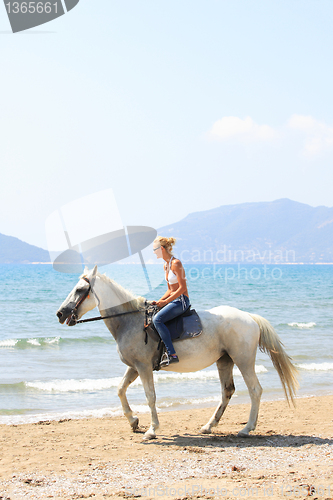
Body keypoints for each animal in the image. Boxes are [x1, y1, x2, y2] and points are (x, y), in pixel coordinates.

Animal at [55, 268, 296, 440]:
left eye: (80, 290)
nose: (60, 313)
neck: (130, 321)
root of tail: (249, 317)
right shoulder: (134, 367)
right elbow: (120, 390)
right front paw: (133, 421)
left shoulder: (143, 367)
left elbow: (150, 396)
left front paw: (152, 430)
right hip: (224, 361)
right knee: (227, 392)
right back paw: (208, 426)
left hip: (243, 360)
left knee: (255, 390)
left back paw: (247, 428)